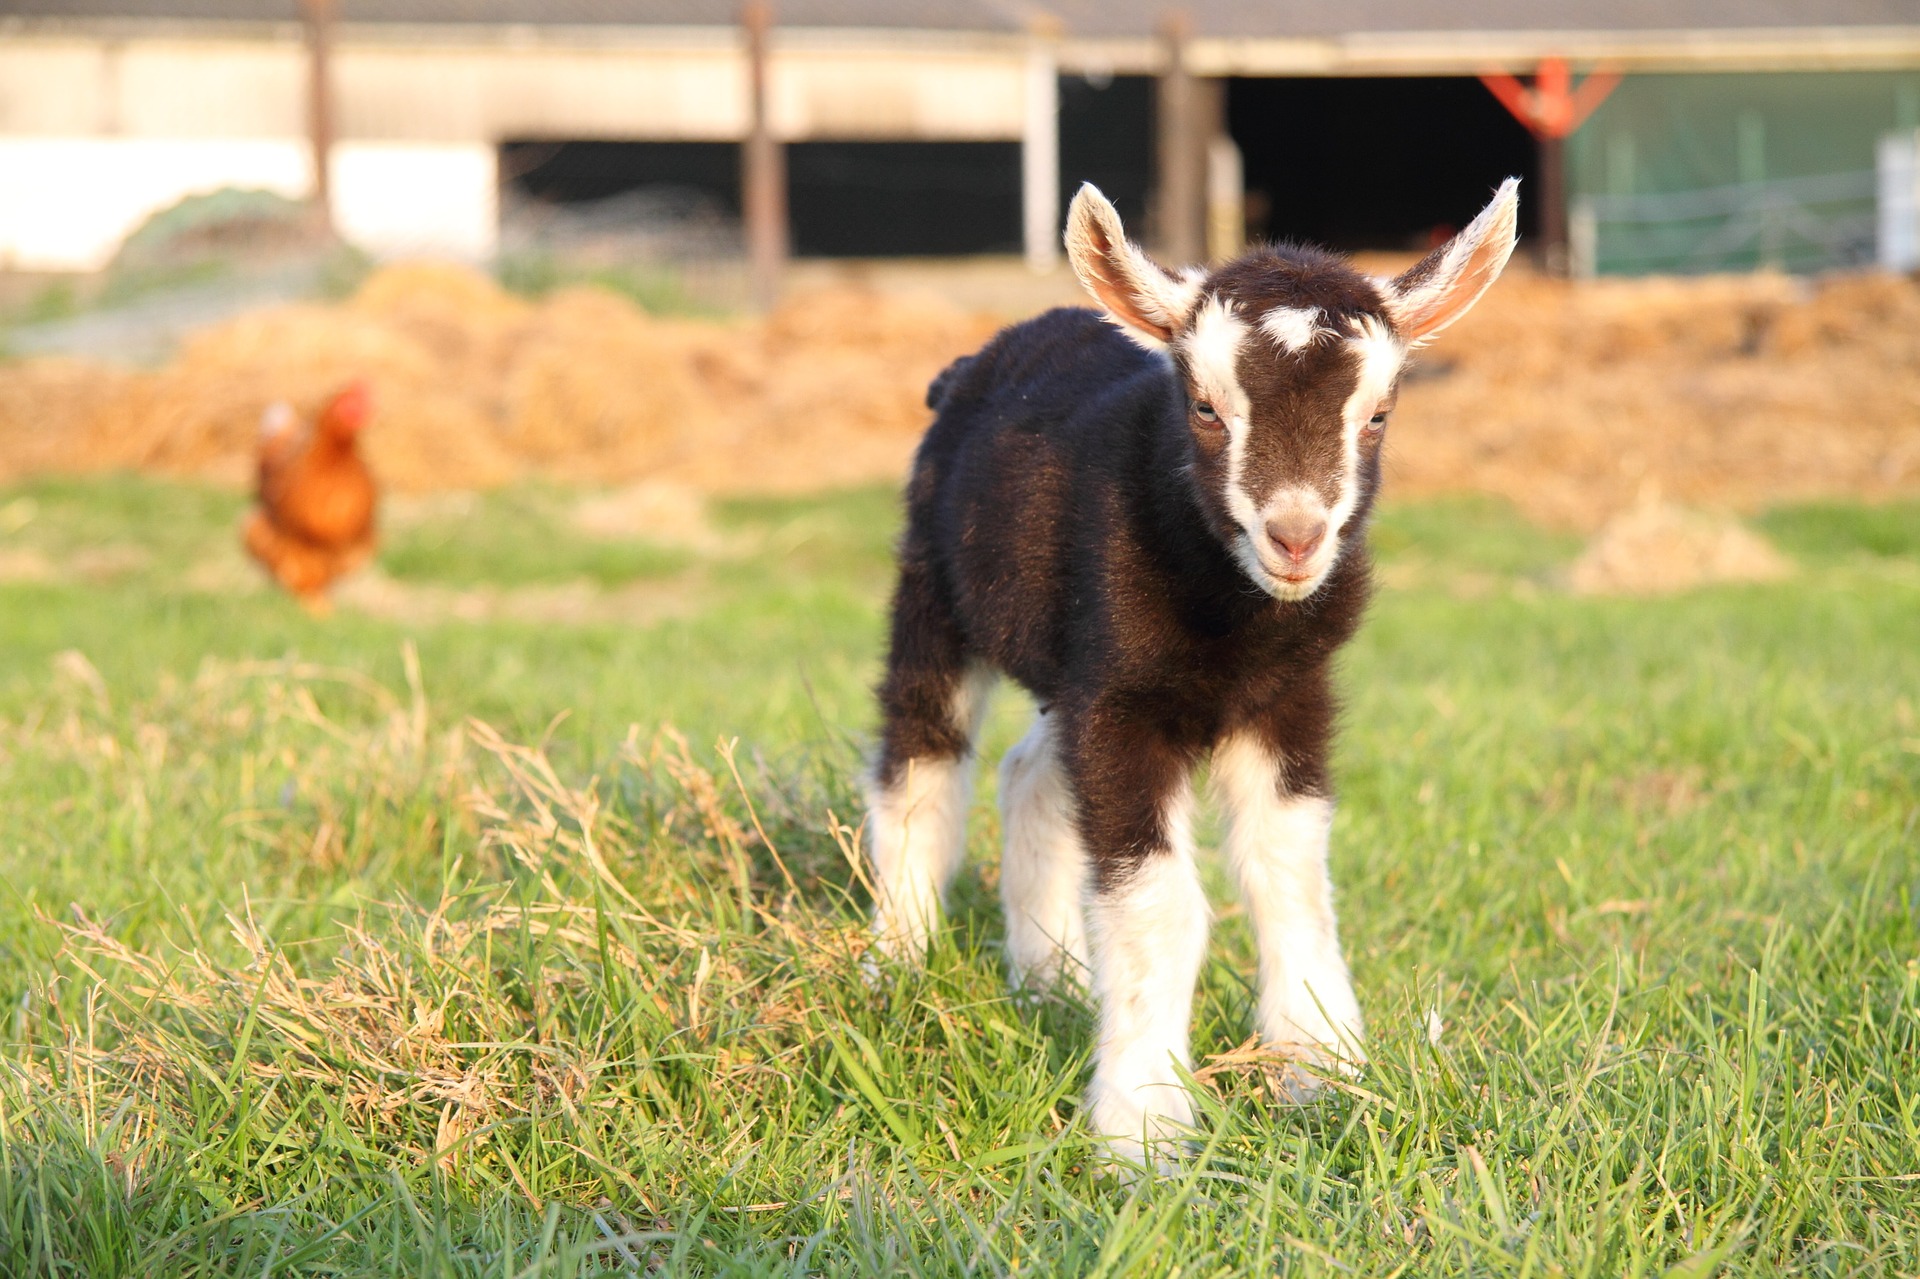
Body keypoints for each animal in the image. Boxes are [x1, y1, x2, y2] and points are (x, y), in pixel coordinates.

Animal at [867, 179, 1512, 1167]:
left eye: (1377, 415)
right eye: (1206, 408)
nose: (1295, 536)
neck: (1233, 626)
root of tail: (977, 361)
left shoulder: (1288, 697)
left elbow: (1290, 873)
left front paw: (1321, 1069)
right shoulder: (1122, 703)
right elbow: (1160, 903)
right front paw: (1144, 1129)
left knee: (1029, 776)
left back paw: (1049, 978)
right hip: (934, 585)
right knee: (921, 758)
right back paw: (896, 964)